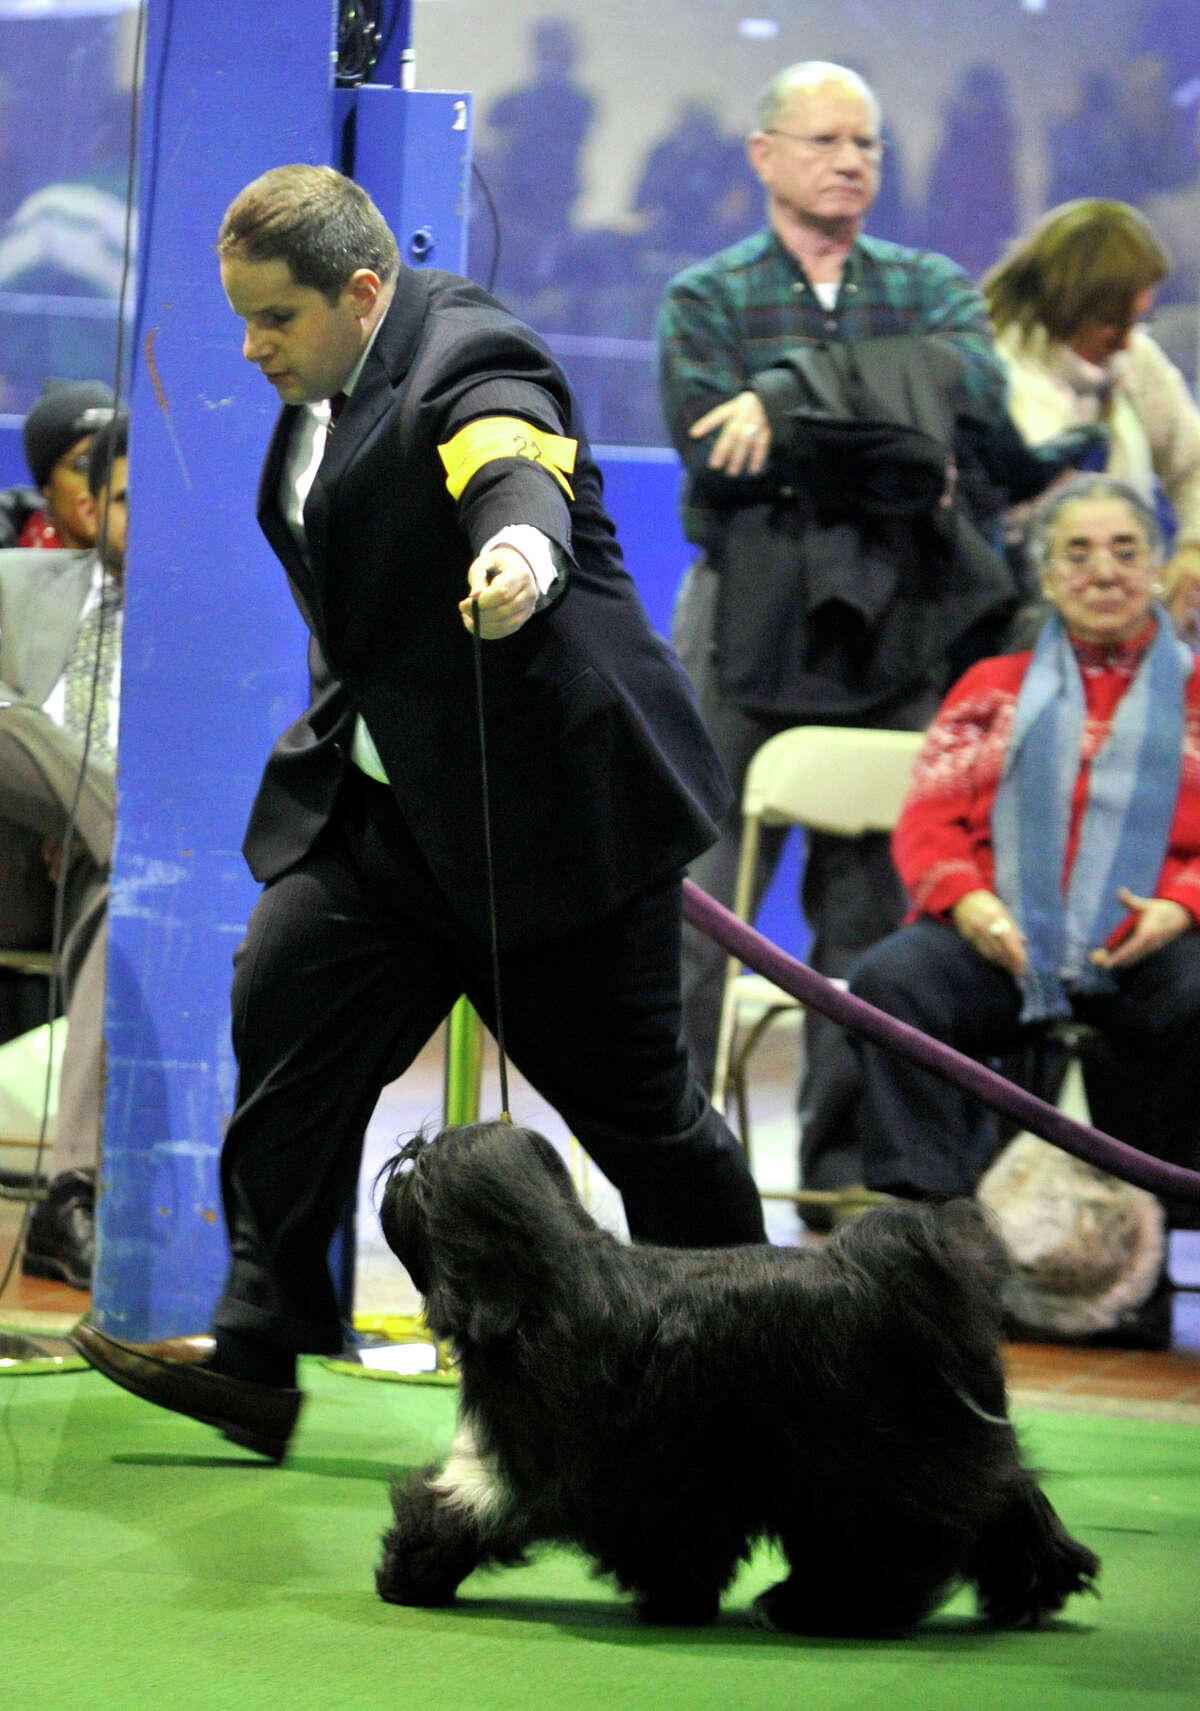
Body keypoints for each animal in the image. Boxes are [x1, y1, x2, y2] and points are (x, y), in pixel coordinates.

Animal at [374, 1122, 1095, 1628]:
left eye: (423, 1168)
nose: (396, 1168)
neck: (537, 1288)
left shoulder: (587, 1464)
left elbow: (482, 1508)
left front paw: (410, 1572)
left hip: (868, 1466)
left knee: (887, 1547)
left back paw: (816, 1610)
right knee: (1009, 1501)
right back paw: (1035, 1591)